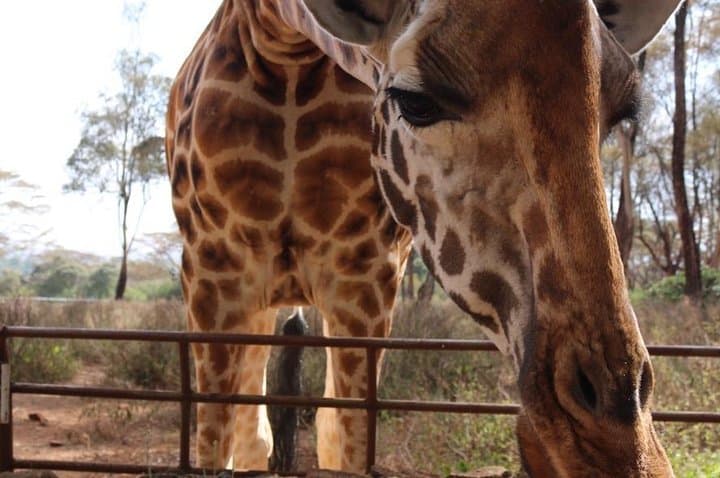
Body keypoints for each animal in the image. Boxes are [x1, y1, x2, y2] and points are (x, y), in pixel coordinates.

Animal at [165, 0, 681, 476]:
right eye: (416, 102)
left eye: (620, 113)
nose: (618, 451)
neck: (285, 47)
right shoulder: (212, 274)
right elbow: (214, 446)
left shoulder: (365, 279)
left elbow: (343, 440)